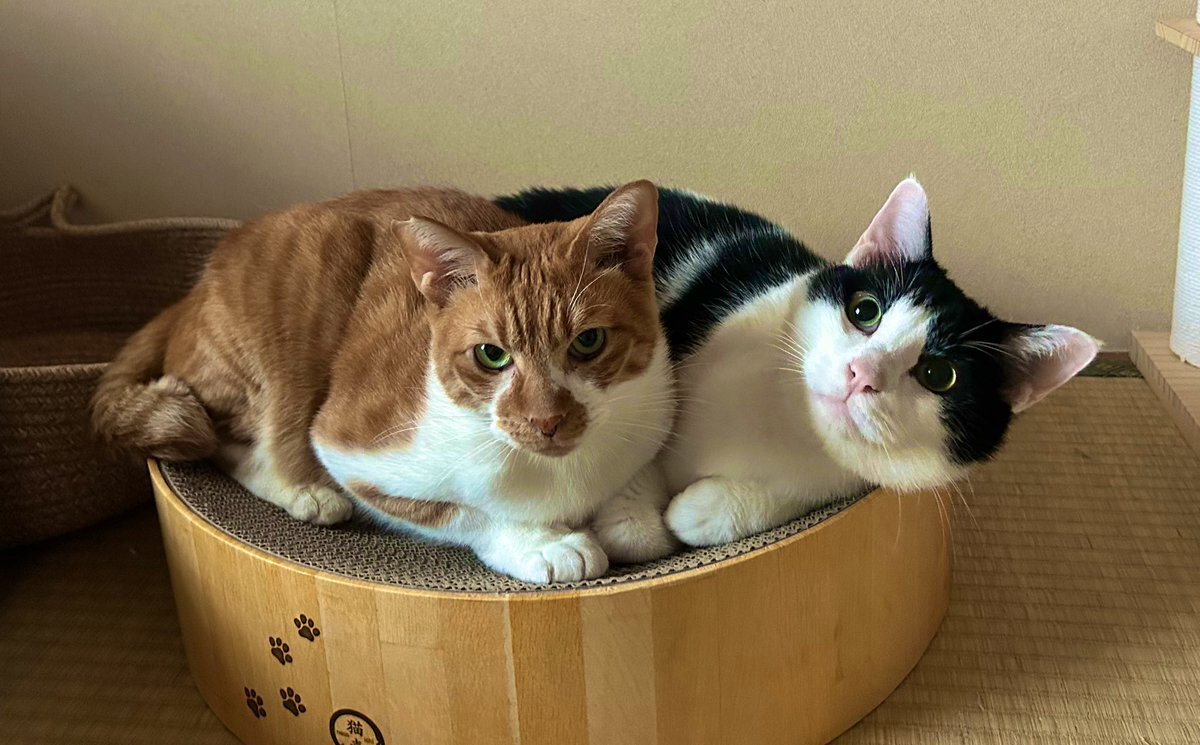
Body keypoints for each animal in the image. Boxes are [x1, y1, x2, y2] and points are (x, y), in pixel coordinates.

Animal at [93, 181, 678, 583]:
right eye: (492, 355)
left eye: (588, 342)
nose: (547, 420)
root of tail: (191, 293)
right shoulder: (351, 451)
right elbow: (466, 514)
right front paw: (542, 544)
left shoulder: (655, 415)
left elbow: (640, 484)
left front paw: (632, 518)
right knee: (225, 442)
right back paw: (303, 492)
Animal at [496, 177, 1100, 546]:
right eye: (865, 311)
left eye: (939, 375)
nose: (862, 374)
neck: (787, 426)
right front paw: (631, 519)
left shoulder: (839, 483)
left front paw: (705, 509)